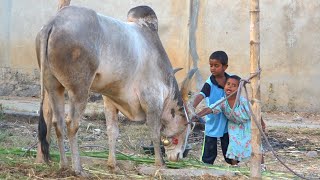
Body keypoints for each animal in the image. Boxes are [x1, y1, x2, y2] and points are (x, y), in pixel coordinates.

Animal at [34, 5, 195, 176]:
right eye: (189, 126)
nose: (179, 156)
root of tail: (54, 22)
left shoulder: (110, 101)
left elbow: (113, 131)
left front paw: (113, 165)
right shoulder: (152, 101)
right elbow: (154, 132)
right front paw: (160, 163)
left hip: (53, 87)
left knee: (58, 123)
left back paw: (64, 165)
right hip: (80, 90)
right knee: (72, 124)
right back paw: (78, 169)